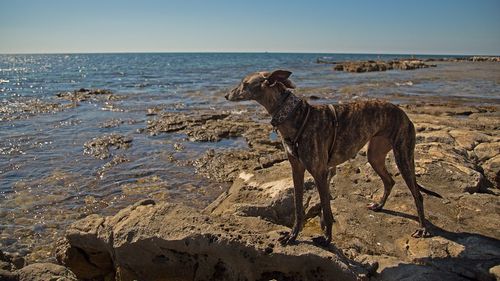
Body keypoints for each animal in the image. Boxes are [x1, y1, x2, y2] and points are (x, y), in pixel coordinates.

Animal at [226, 69, 442, 244]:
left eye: (244, 83)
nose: (226, 95)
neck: (296, 116)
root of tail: (404, 114)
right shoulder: (297, 169)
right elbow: (298, 206)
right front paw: (293, 235)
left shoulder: (320, 173)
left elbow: (327, 210)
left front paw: (326, 238)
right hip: (375, 155)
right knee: (389, 181)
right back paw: (380, 205)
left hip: (403, 156)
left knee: (417, 194)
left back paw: (423, 228)